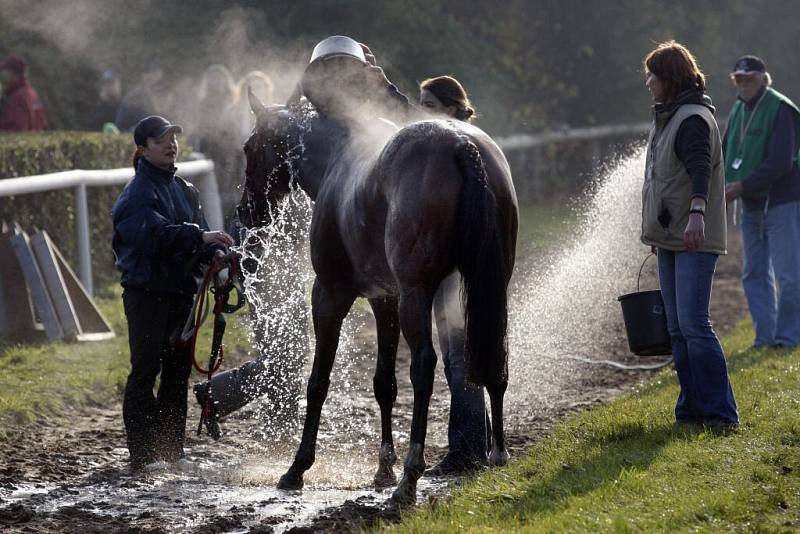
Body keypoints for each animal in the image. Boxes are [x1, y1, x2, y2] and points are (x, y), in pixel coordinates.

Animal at [239, 92, 520, 506]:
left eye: (248, 147)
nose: (246, 212)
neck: (336, 158)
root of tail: (460, 144)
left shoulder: (329, 295)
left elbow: (318, 382)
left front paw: (297, 468)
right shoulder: (384, 300)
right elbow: (384, 383)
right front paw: (383, 468)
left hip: (416, 297)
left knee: (423, 366)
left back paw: (411, 476)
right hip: (488, 288)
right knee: (492, 354)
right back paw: (497, 453)